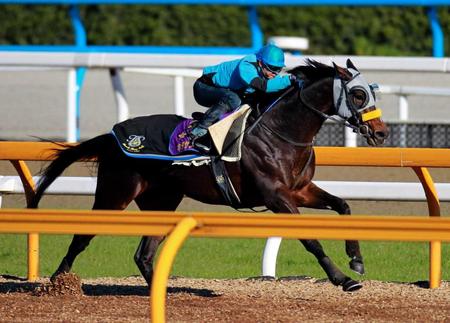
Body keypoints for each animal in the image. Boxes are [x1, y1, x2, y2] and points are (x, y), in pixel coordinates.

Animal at [30, 58, 390, 294]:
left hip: (162, 200)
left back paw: (167, 292)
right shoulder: (277, 196)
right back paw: (57, 282)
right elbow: (311, 239)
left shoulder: (299, 190)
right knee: (82, 237)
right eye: (358, 95)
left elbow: (343, 206)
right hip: (115, 194)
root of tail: (113, 135)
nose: (382, 132)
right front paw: (344, 279)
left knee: (143, 254)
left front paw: (356, 261)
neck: (281, 132)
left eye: (372, 92)